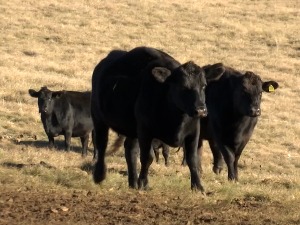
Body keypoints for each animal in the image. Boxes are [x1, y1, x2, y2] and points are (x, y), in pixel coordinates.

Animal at [91, 46, 225, 191]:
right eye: (183, 87)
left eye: (204, 85)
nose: (201, 110)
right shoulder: (145, 131)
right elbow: (147, 158)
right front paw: (143, 183)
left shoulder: (193, 132)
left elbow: (192, 158)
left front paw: (198, 186)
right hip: (98, 118)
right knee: (102, 145)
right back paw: (99, 175)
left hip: (133, 129)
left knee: (130, 150)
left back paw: (133, 183)